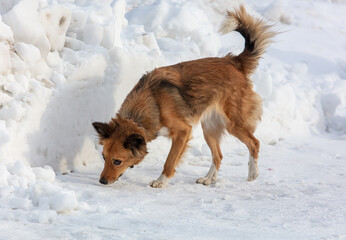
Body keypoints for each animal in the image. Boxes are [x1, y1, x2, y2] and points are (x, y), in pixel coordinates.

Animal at [92, 4, 276, 187]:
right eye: (103, 157)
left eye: (117, 161)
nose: (102, 181)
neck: (152, 104)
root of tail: (234, 62)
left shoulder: (183, 132)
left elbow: (170, 160)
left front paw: (161, 181)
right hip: (209, 128)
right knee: (218, 155)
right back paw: (208, 178)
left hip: (233, 123)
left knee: (254, 143)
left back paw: (252, 173)